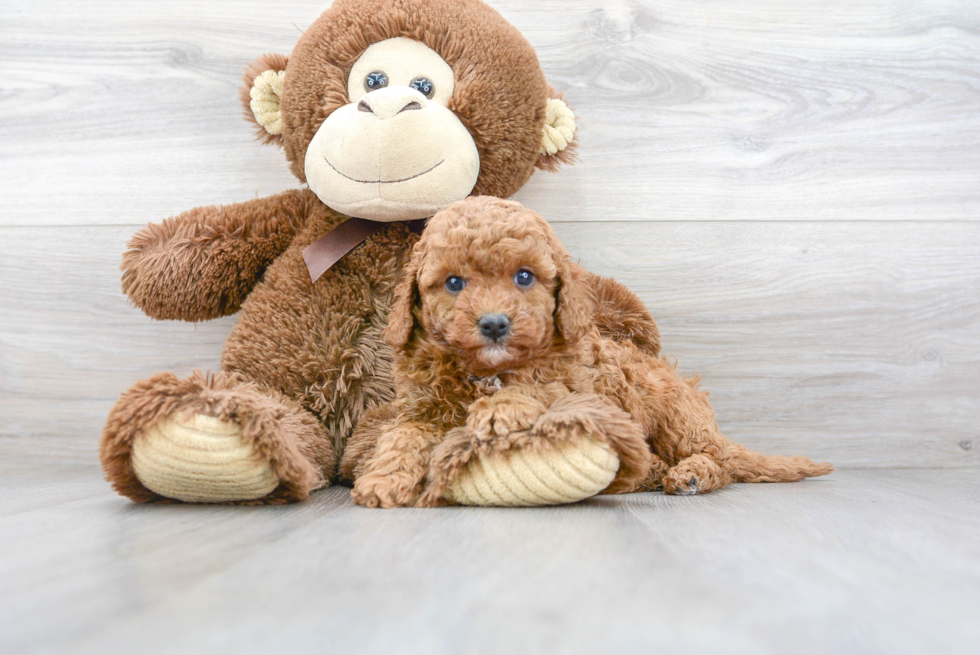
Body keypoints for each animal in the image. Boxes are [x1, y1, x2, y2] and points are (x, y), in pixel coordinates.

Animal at [340, 195, 832, 508]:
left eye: (524, 276)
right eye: (454, 283)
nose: (495, 324)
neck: (486, 371)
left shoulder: (583, 386)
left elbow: (543, 387)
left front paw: (500, 409)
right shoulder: (421, 411)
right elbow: (400, 438)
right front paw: (383, 479)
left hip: (677, 418)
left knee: (720, 463)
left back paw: (690, 474)